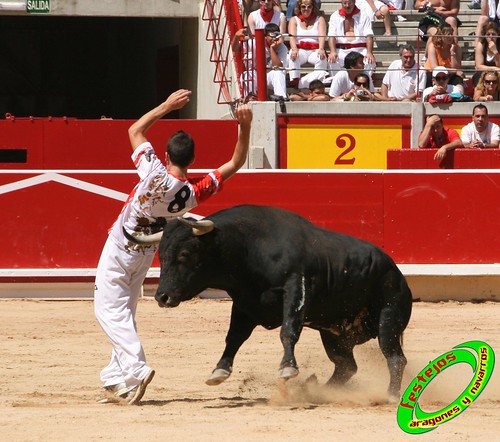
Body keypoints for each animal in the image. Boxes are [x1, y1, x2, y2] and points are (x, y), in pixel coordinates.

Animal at [131, 205, 412, 398]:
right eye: (161, 255)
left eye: (185, 254)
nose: (162, 296)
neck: (247, 247)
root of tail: (396, 271)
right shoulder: (244, 304)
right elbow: (234, 338)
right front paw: (219, 371)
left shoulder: (295, 289)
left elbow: (288, 332)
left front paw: (287, 369)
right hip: (333, 333)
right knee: (346, 366)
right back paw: (319, 392)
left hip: (389, 316)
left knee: (394, 357)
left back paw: (390, 396)